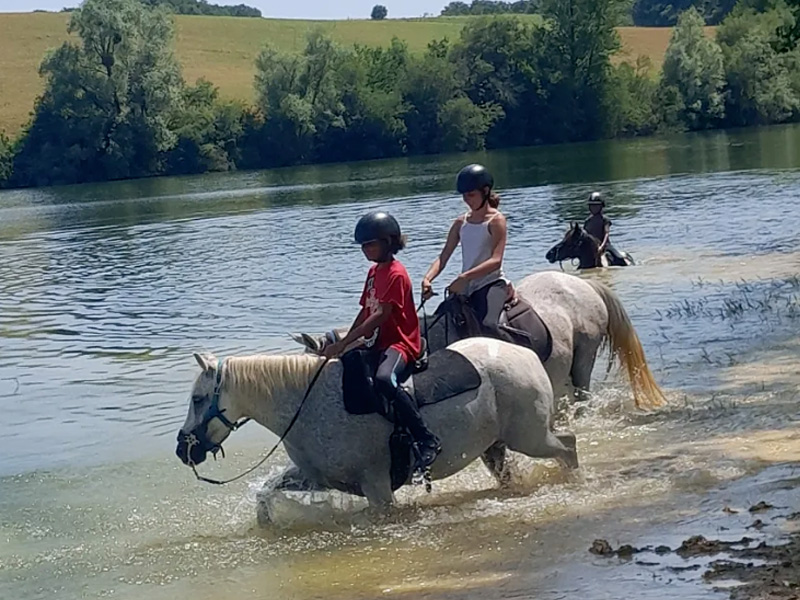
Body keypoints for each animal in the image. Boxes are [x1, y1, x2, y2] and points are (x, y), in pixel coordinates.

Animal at [175, 338, 579, 511]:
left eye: (197, 399)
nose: (183, 449)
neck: (306, 403)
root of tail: (524, 354)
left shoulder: (377, 487)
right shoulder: (315, 477)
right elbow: (267, 494)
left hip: (531, 437)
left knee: (568, 445)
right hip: (494, 447)